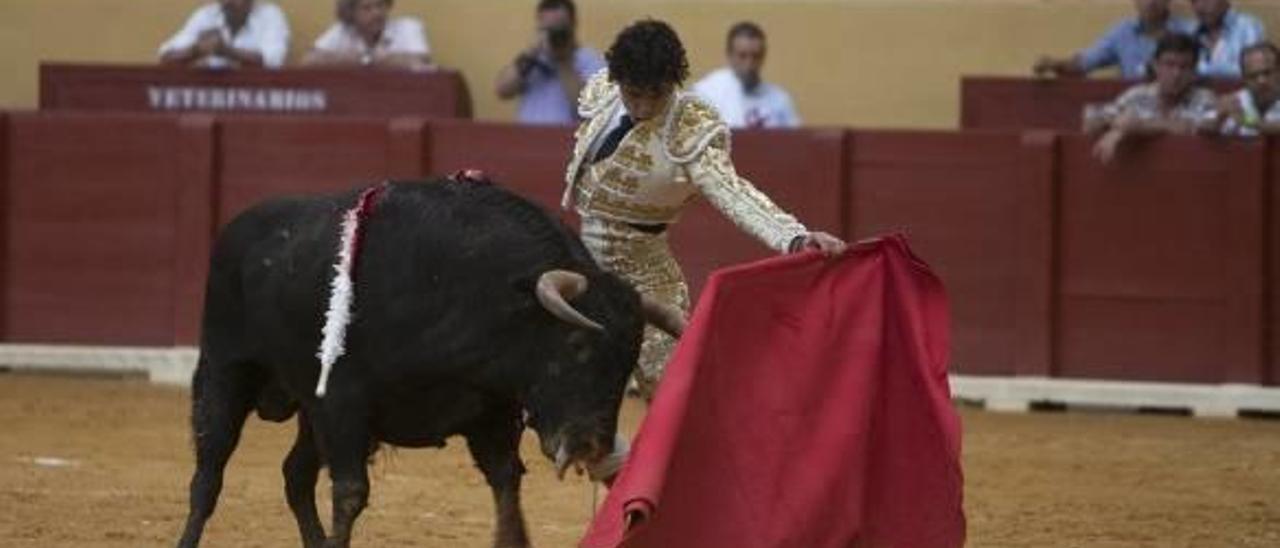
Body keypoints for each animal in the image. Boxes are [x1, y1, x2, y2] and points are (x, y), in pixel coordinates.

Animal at [177, 177, 691, 545]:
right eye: (576, 345)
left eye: (628, 362)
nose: (591, 446)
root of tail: (238, 227)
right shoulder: (344, 403)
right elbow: (350, 493)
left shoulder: (490, 414)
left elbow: (507, 488)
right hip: (225, 372)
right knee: (208, 476)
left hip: (309, 409)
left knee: (295, 476)